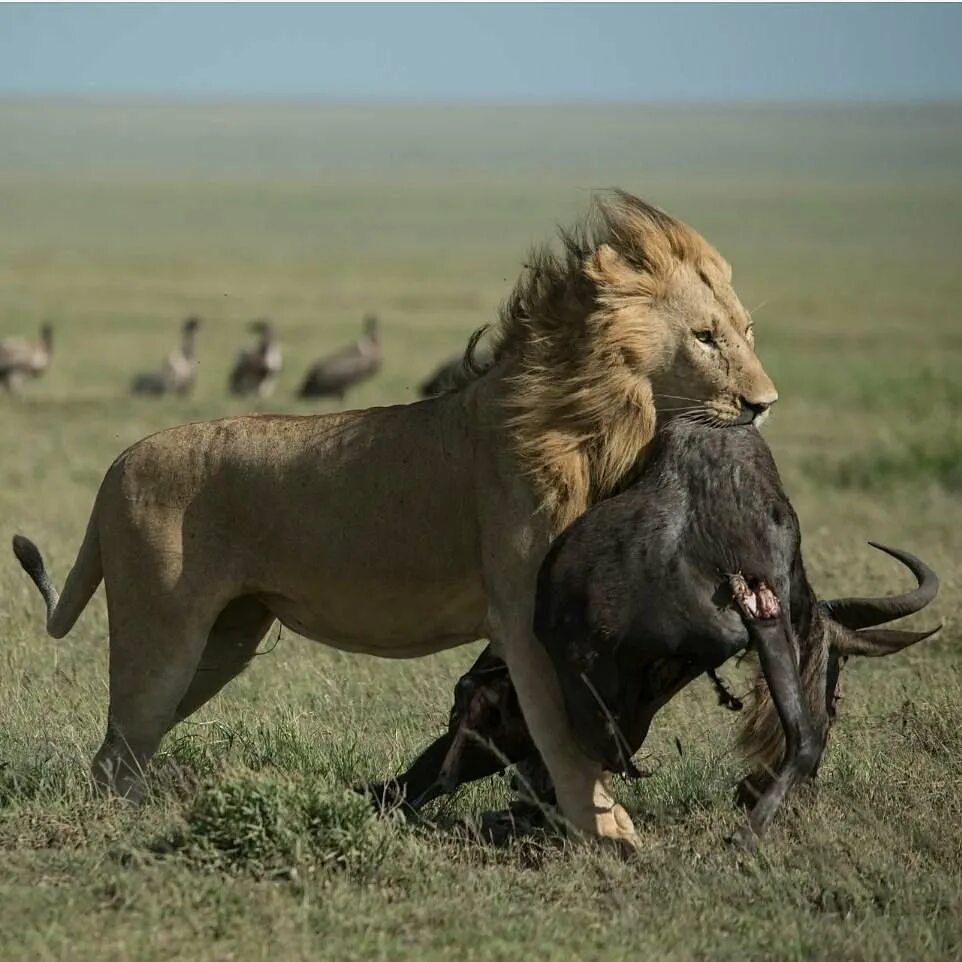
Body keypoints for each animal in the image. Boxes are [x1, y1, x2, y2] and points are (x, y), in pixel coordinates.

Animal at [13, 189, 772, 848]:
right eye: (705, 337)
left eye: (746, 331)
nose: (763, 403)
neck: (593, 422)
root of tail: (117, 465)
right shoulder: (528, 620)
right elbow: (563, 738)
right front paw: (610, 836)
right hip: (162, 632)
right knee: (120, 747)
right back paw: (134, 828)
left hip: (223, 640)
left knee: (124, 747)